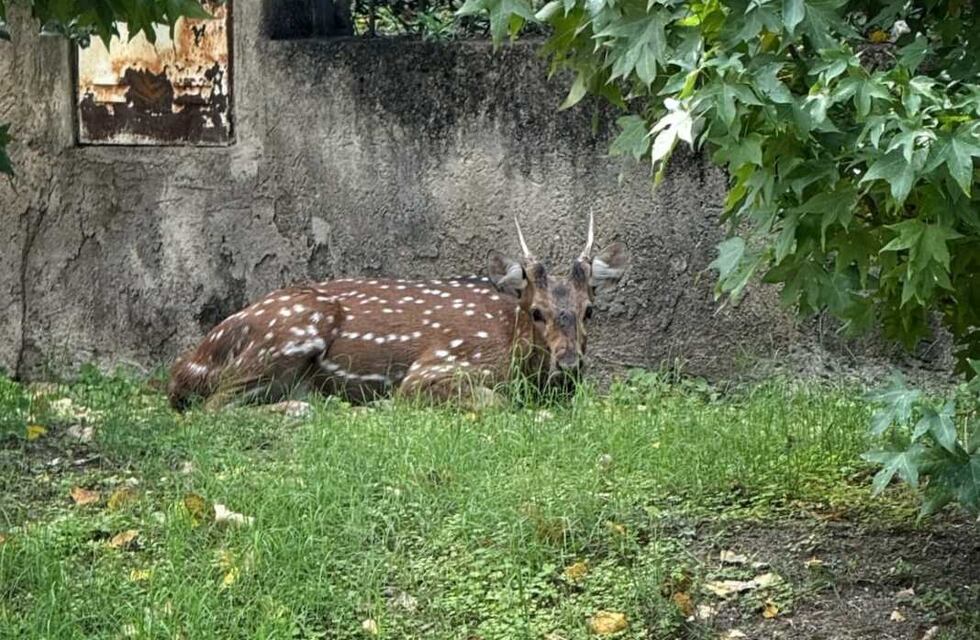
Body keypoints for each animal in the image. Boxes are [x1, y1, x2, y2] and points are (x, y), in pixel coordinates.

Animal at [167, 215, 629, 411]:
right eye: (536, 312)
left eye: (589, 310)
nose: (568, 364)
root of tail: (188, 365)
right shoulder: (436, 366)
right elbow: (494, 401)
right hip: (292, 330)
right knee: (212, 408)